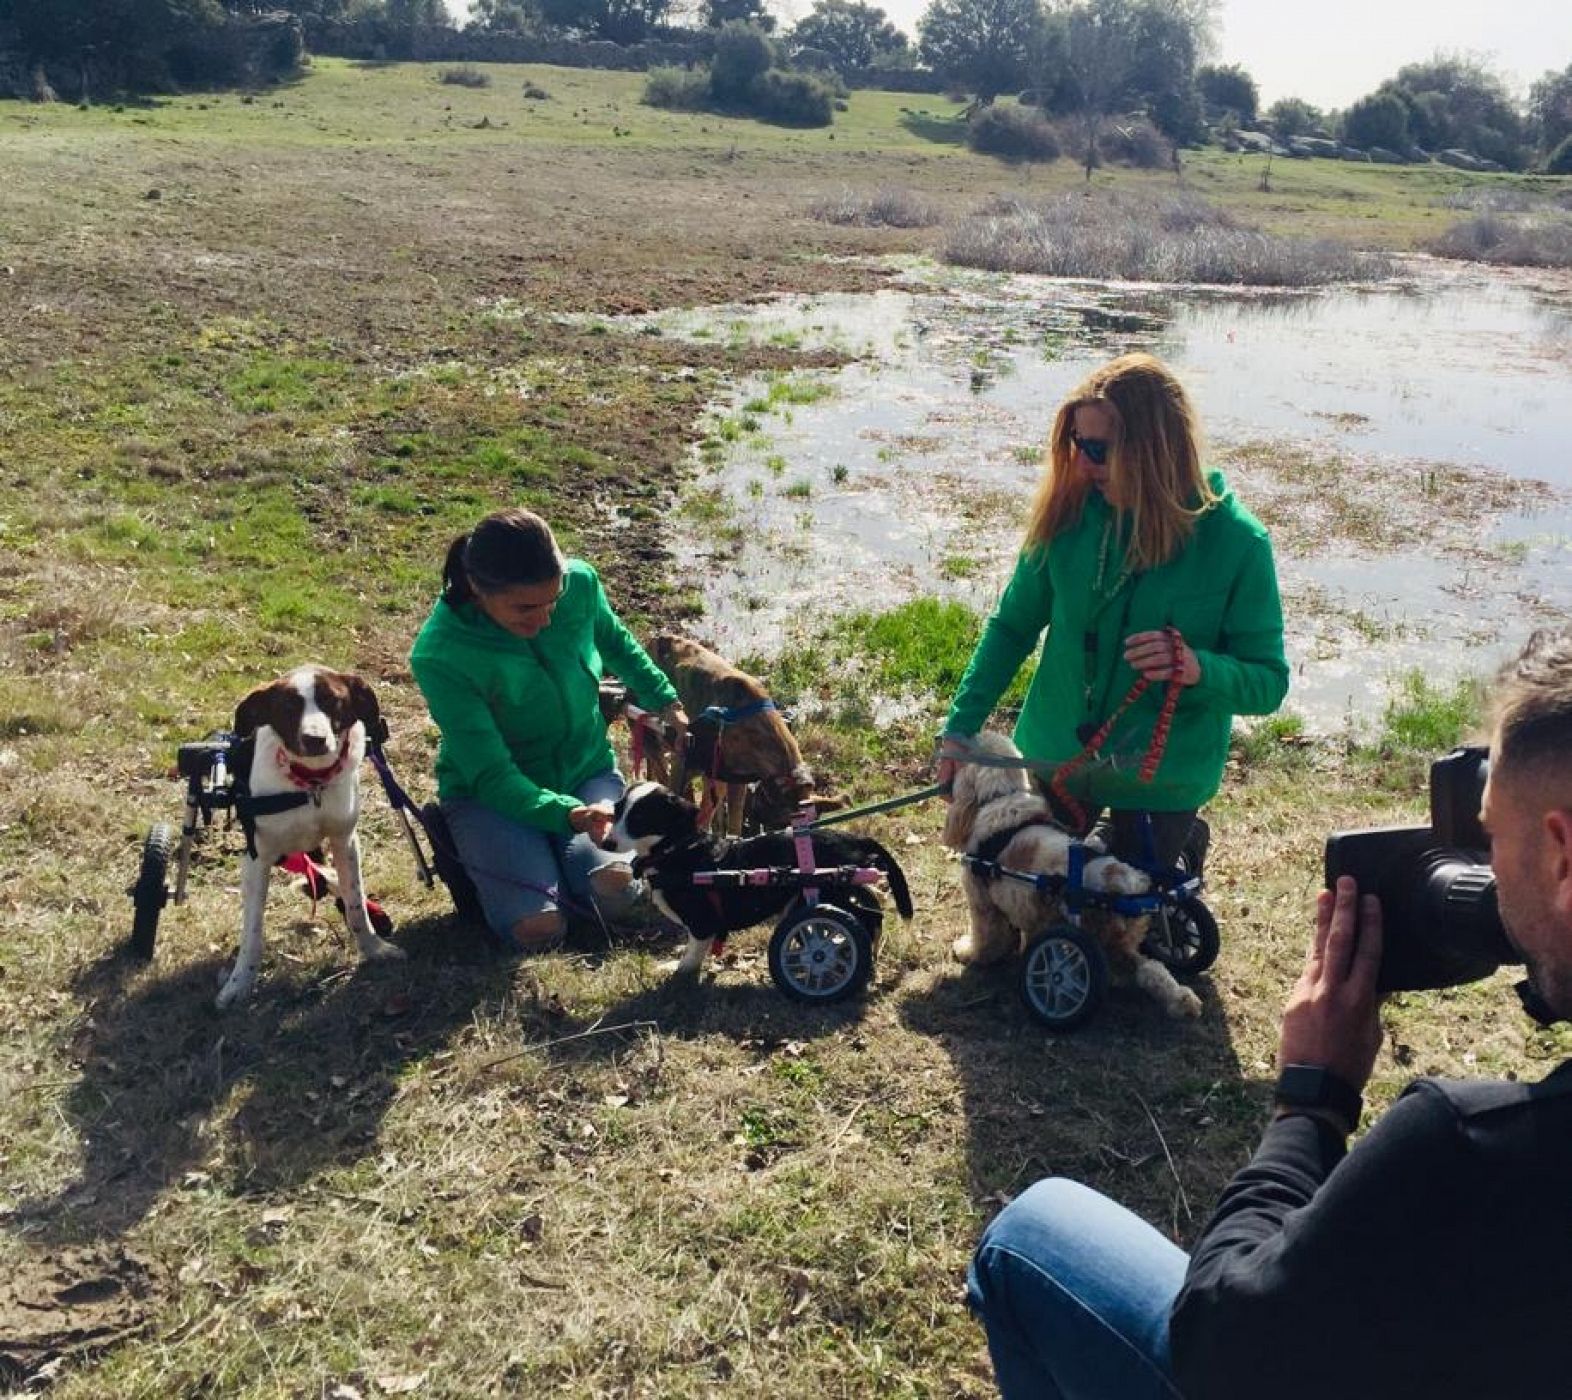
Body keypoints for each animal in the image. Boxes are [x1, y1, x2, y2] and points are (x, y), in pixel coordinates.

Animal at [216, 669, 405, 1005]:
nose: (314, 739)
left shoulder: (345, 841)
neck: (310, 784)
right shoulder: (257, 858)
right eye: (288, 707)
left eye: (332, 700)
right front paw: (239, 984)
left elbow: (356, 904)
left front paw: (373, 949)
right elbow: (252, 931)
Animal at [603, 788, 918, 974]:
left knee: (869, 916)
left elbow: (690, 960)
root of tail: (855, 839)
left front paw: (677, 975)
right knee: (873, 910)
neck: (677, 849)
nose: (605, 843)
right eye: (616, 810)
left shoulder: (703, 924)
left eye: (640, 817)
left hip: (828, 893)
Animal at [943, 732, 1201, 1018]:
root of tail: (1126, 884)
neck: (1002, 798)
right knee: (1151, 968)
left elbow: (987, 939)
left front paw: (970, 952)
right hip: (1122, 941)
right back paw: (1183, 1000)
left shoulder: (982, 902)